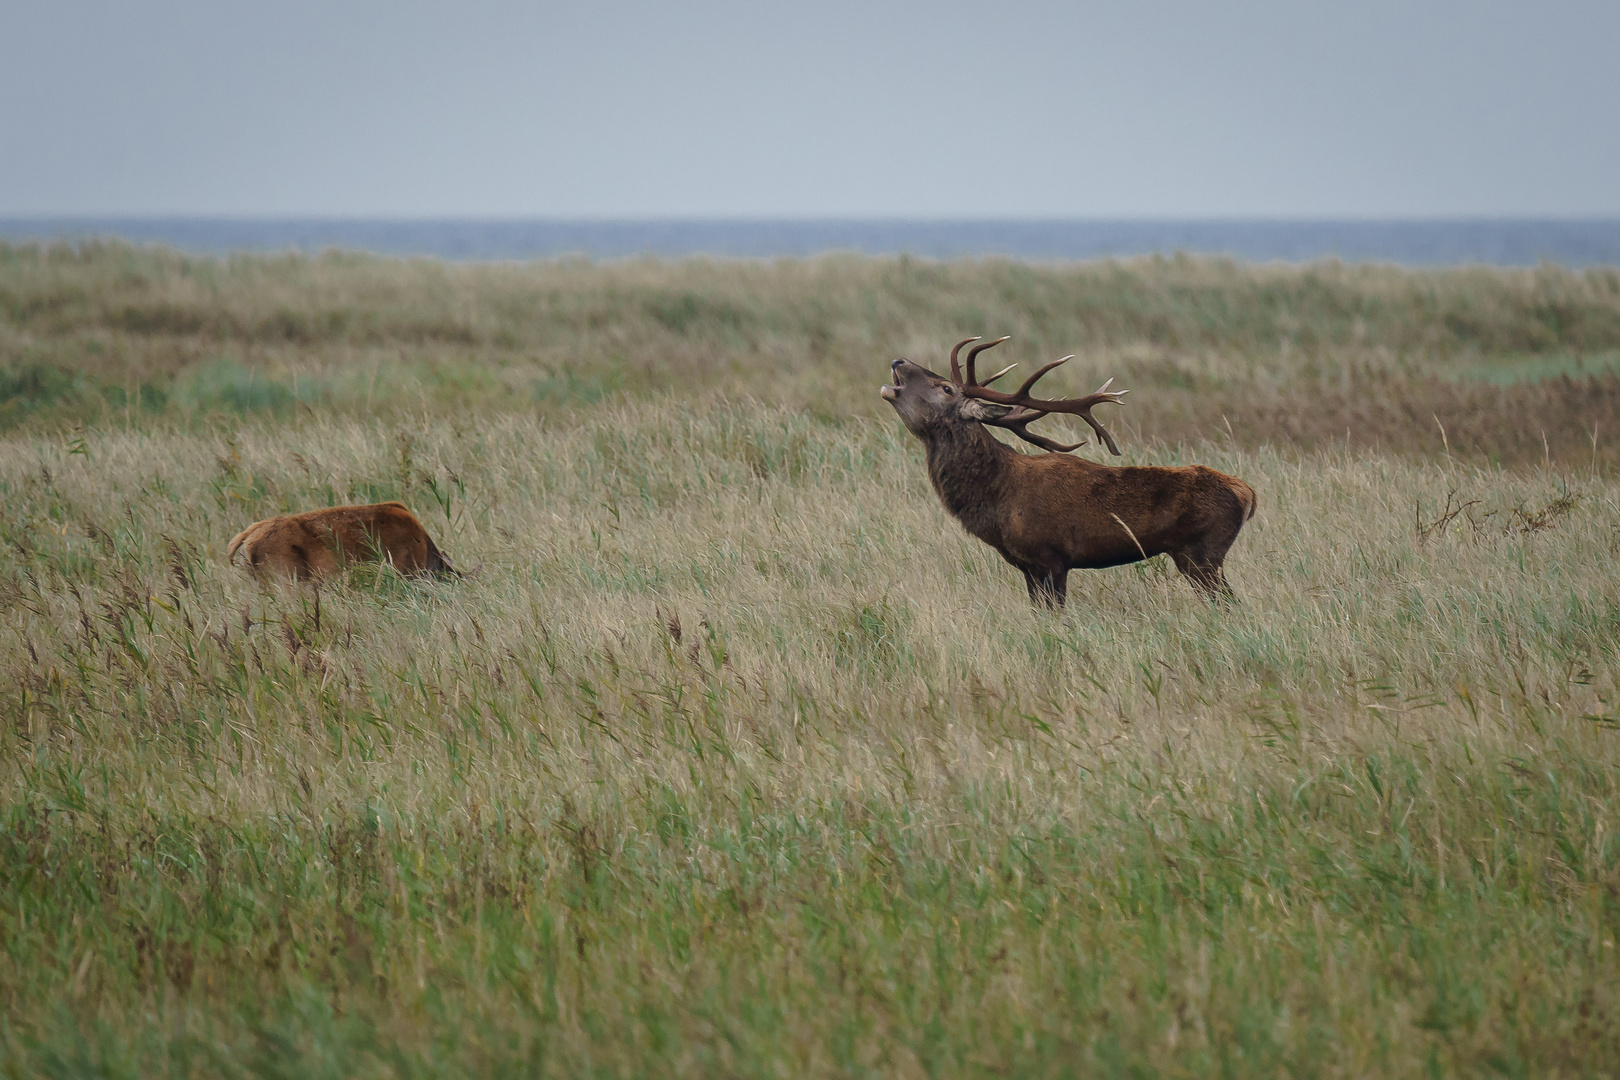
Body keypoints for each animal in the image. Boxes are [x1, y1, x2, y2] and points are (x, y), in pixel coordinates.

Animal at [887, 338, 1250, 608]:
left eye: (945, 388)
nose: (899, 361)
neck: (998, 500)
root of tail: (1248, 494)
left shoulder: (1051, 557)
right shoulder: (1027, 566)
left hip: (1203, 551)